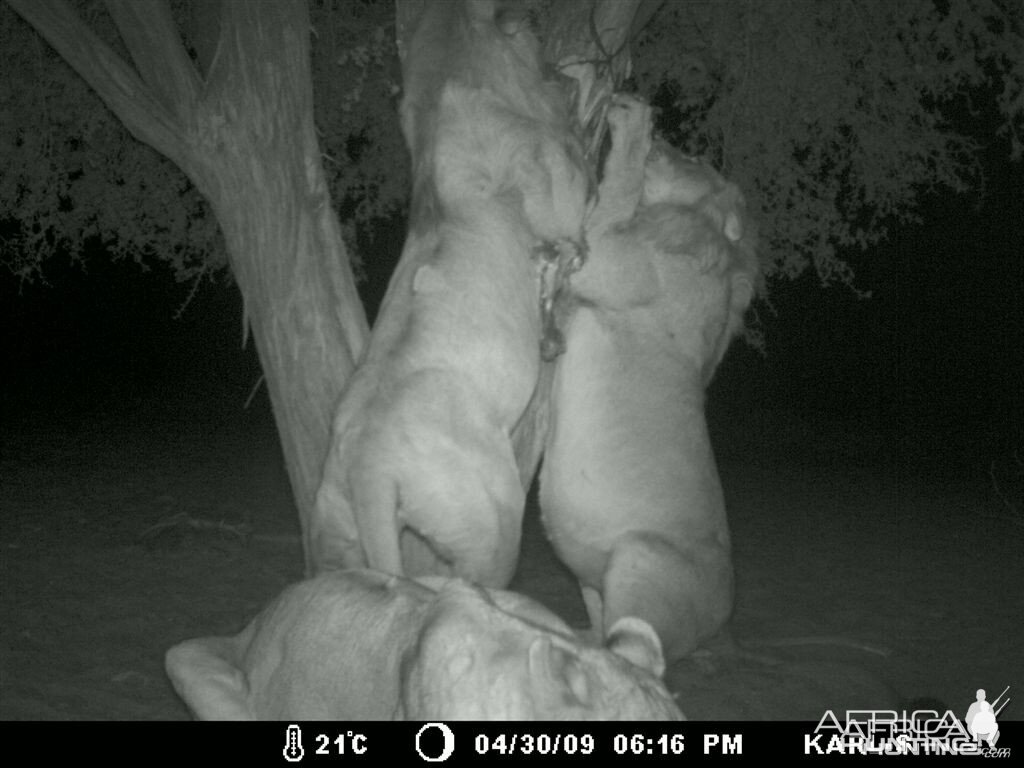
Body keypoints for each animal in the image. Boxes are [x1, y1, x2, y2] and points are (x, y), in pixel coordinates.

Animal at [309, 0, 593, 585]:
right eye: (529, 31)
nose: (559, 63)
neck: (448, 89)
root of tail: (368, 469)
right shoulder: (562, 191)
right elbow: (579, 166)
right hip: (494, 521)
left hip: (335, 534)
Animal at [540, 94, 757, 667]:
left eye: (697, 159)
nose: (664, 135)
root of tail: (724, 623)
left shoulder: (608, 256)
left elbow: (616, 192)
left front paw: (632, 121)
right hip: (593, 580)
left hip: (639, 558)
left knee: (636, 656)